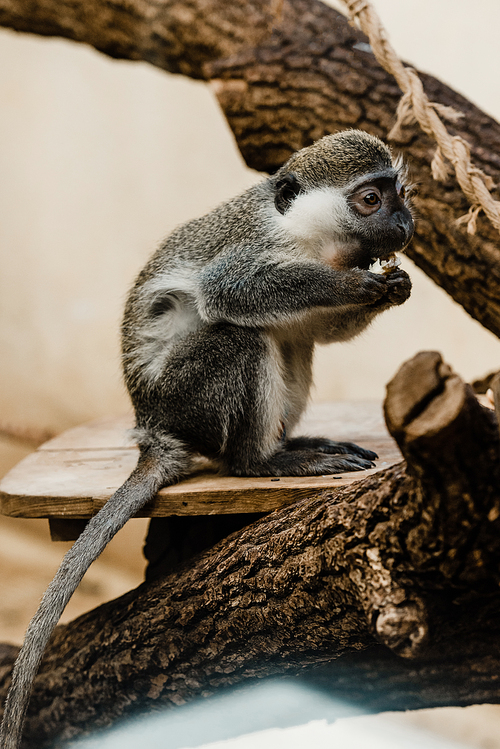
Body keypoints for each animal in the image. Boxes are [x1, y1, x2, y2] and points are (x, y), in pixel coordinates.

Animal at [0, 127, 414, 744]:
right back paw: (261, 462)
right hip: (187, 396)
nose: (405, 223)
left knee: (292, 340)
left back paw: (288, 448)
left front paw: (393, 284)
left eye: (399, 193)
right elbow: (230, 291)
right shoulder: (254, 250)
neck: (312, 240)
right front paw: (361, 284)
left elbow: (319, 330)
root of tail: (155, 430)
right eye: (370, 199)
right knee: (240, 335)